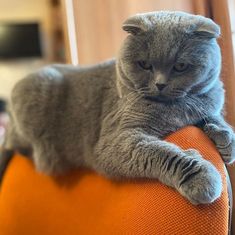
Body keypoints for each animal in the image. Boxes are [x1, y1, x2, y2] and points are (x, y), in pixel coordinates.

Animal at [0, 11, 235, 205]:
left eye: (180, 66)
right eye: (144, 64)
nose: (160, 84)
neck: (177, 108)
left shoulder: (207, 103)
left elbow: (213, 117)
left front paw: (226, 142)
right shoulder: (116, 139)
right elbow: (161, 152)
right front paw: (201, 177)